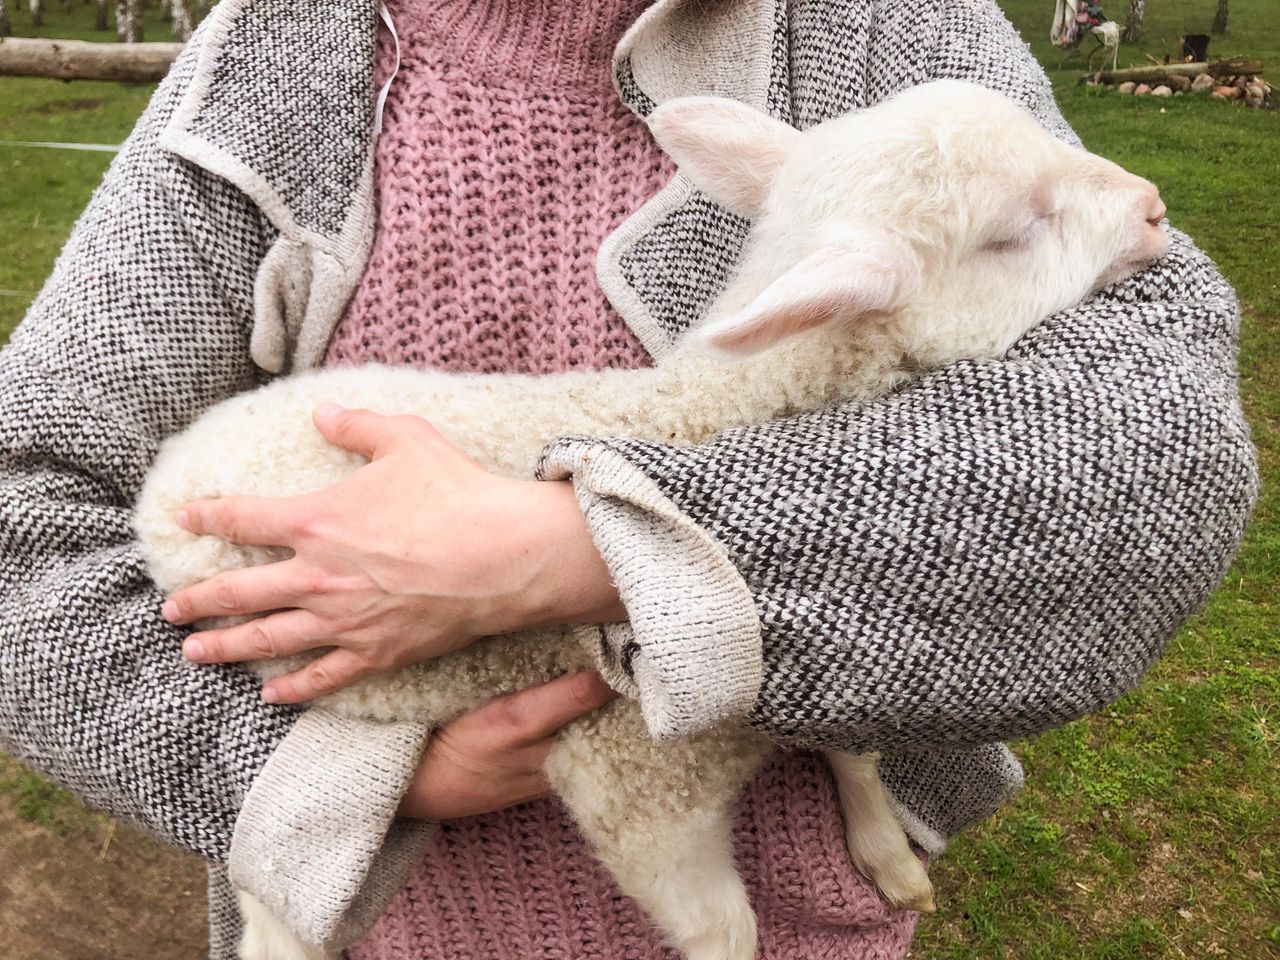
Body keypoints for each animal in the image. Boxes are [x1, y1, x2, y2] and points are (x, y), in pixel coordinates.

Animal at [132, 80, 1172, 960]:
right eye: (1014, 234)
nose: (1156, 207)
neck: (705, 412)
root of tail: (170, 474)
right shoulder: (636, 787)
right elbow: (727, 932)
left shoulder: (819, 667)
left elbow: (854, 745)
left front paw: (887, 856)